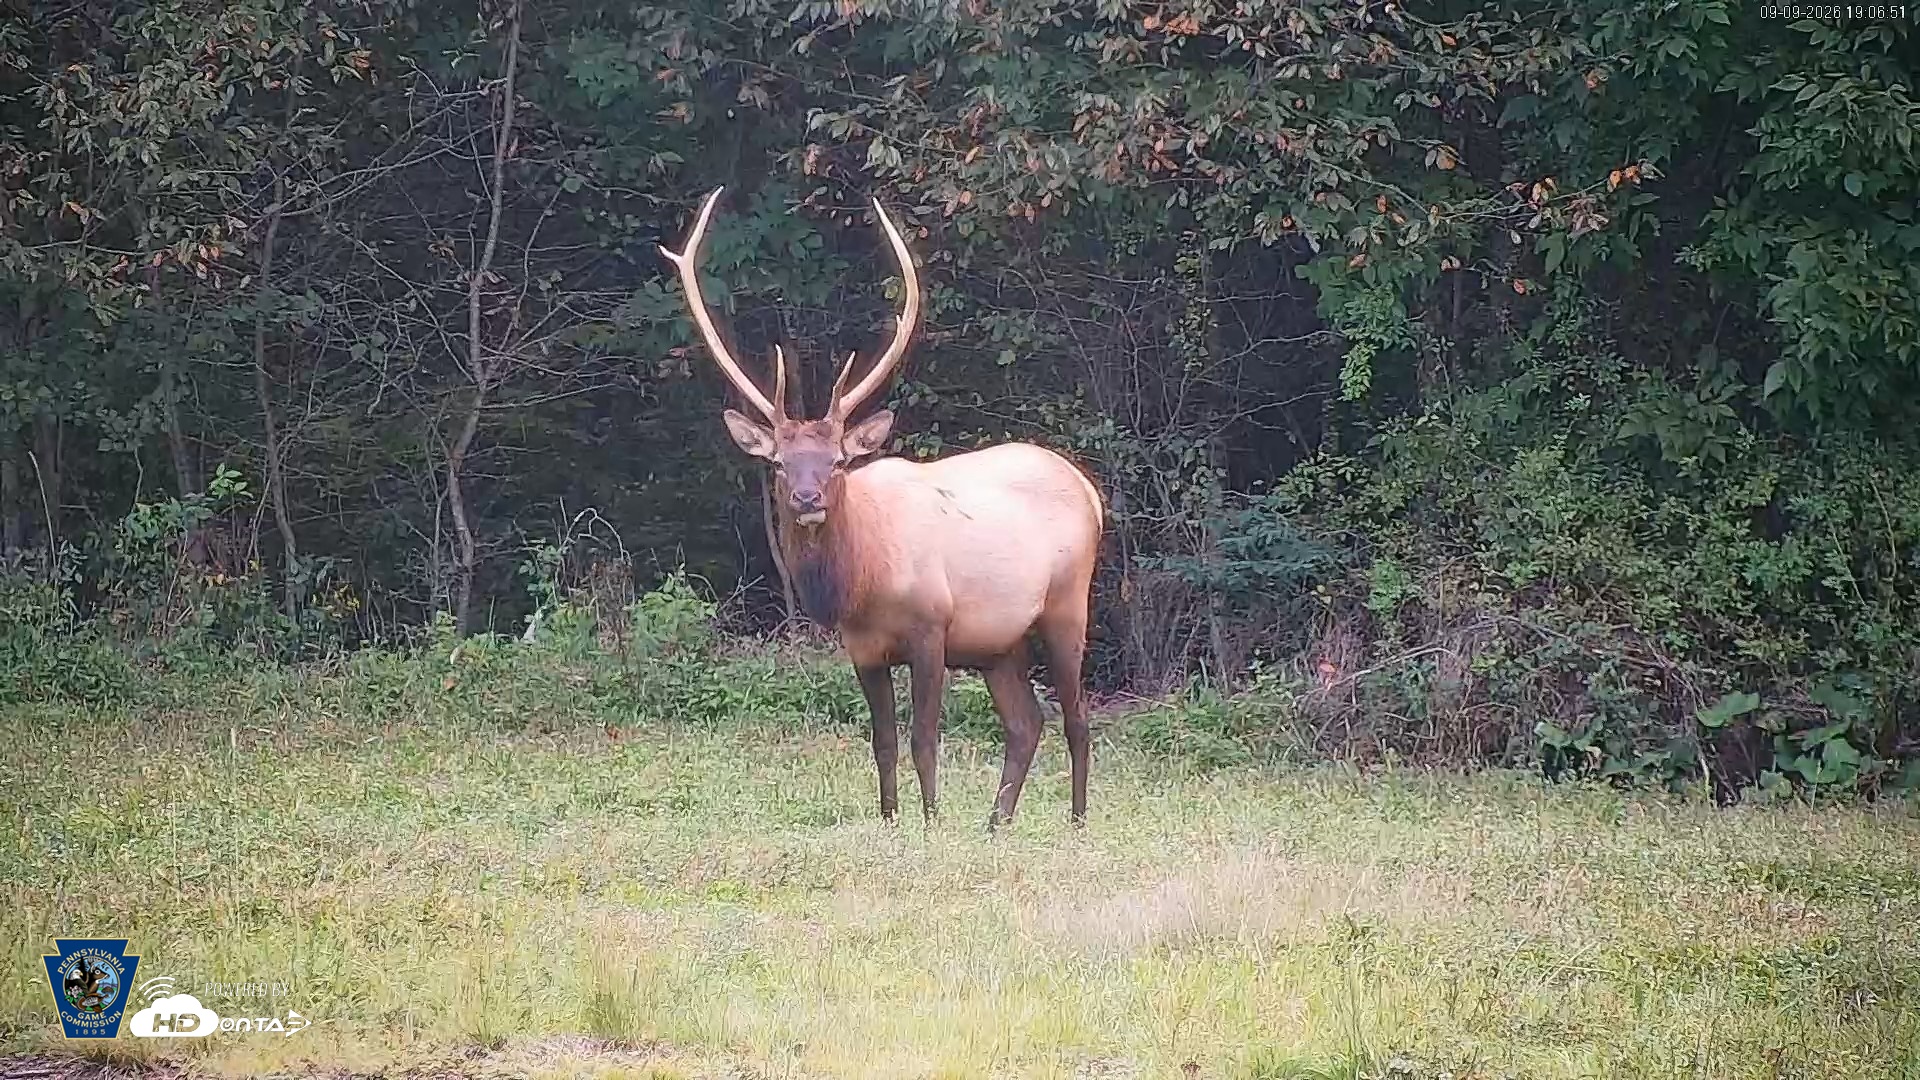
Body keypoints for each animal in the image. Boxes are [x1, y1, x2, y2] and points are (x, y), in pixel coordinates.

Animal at [658, 186, 1105, 830]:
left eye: (838, 461)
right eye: (779, 464)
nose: (808, 498)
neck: (863, 584)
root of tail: (1090, 490)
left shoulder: (932, 628)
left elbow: (924, 739)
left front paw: (931, 821)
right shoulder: (863, 649)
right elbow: (883, 741)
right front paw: (893, 818)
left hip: (1067, 603)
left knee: (1076, 717)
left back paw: (1075, 820)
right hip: (999, 642)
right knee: (1026, 723)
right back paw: (995, 823)